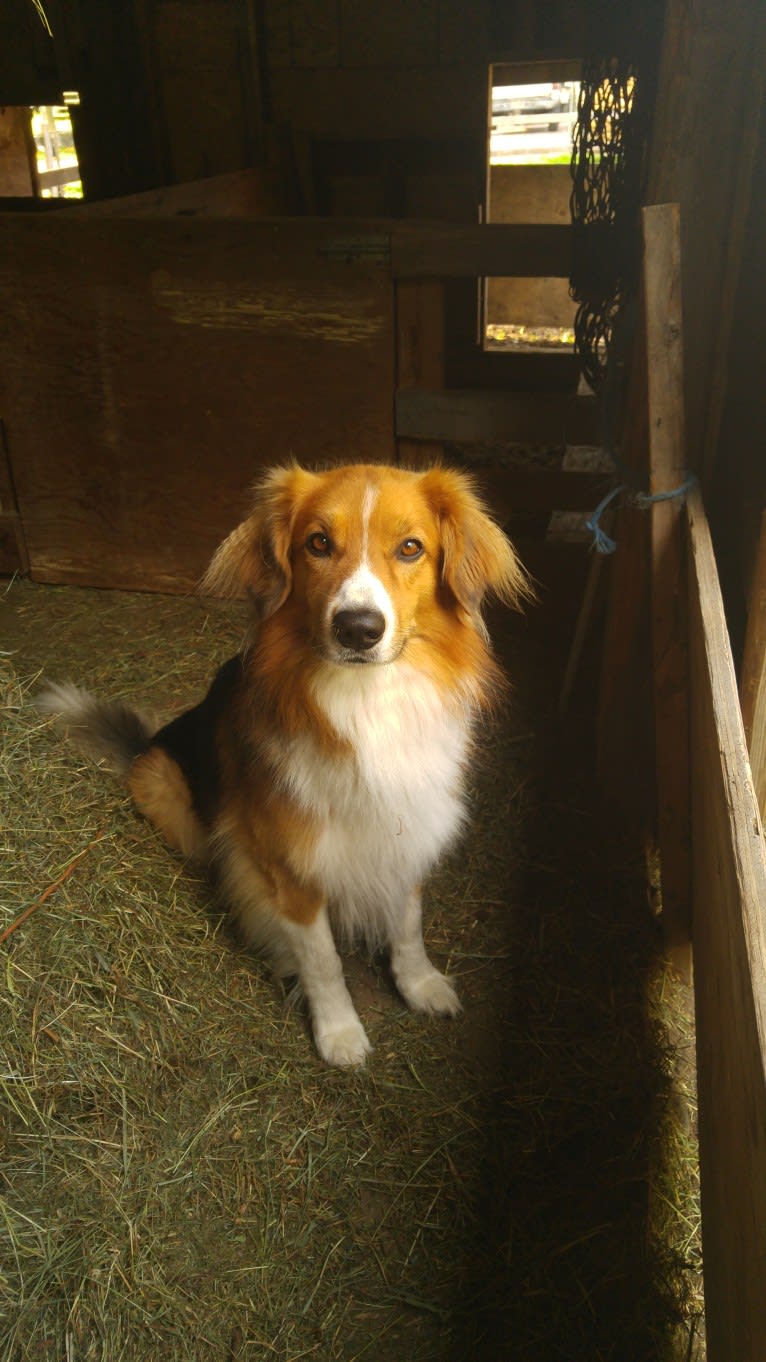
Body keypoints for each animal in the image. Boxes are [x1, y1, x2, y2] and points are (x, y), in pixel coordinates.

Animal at [38, 463, 528, 1067]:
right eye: (318, 543)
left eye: (411, 547)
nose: (358, 628)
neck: (366, 701)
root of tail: (149, 741)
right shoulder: (289, 869)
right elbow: (323, 961)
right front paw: (339, 1032)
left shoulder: (407, 829)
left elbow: (408, 924)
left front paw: (420, 984)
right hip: (166, 787)